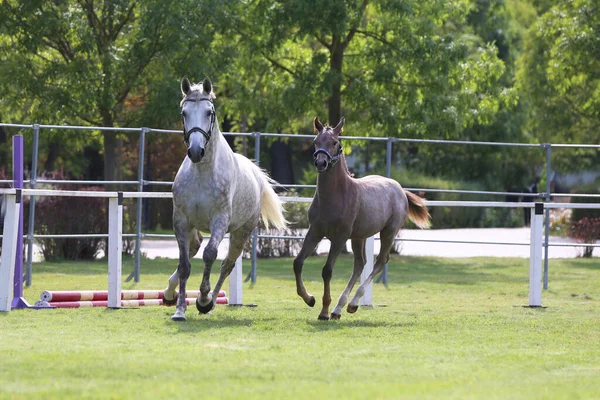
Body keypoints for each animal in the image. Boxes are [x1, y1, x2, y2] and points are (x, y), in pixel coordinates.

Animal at [163, 77, 288, 322]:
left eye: (209, 112)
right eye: (184, 113)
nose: (195, 151)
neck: (202, 172)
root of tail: (256, 173)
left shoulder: (219, 221)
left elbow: (210, 255)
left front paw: (203, 299)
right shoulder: (181, 220)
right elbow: (184, 265)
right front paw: (179, 310)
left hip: (241, 232)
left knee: (227, 264)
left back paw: (209, 302)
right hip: (195, 227)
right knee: (194, 247)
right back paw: (169, 293)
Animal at [292, 117, 428, 320]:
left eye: (335, 142)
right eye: (315, 141)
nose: (321, 163)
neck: (335, 196)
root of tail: (400, 189)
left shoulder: (340, 237)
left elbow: (327, 270)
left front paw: (323, 311)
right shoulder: (314, 231)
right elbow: (298, 262)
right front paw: (310, 299)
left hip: (388, 232)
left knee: (380, 261)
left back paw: (352, 304)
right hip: (359, 237)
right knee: (360, 264)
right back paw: (339, 308)